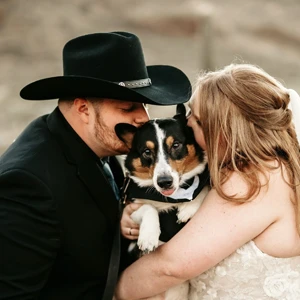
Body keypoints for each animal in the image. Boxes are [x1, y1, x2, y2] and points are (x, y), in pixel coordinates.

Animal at [115, 103, 211, 300]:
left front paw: (188, 208)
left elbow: (200, 187)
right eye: (147, 152)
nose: (164, 182)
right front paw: (148, 237)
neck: (167, 198)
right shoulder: (131, 207)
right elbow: (149, 208)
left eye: (176, 145)